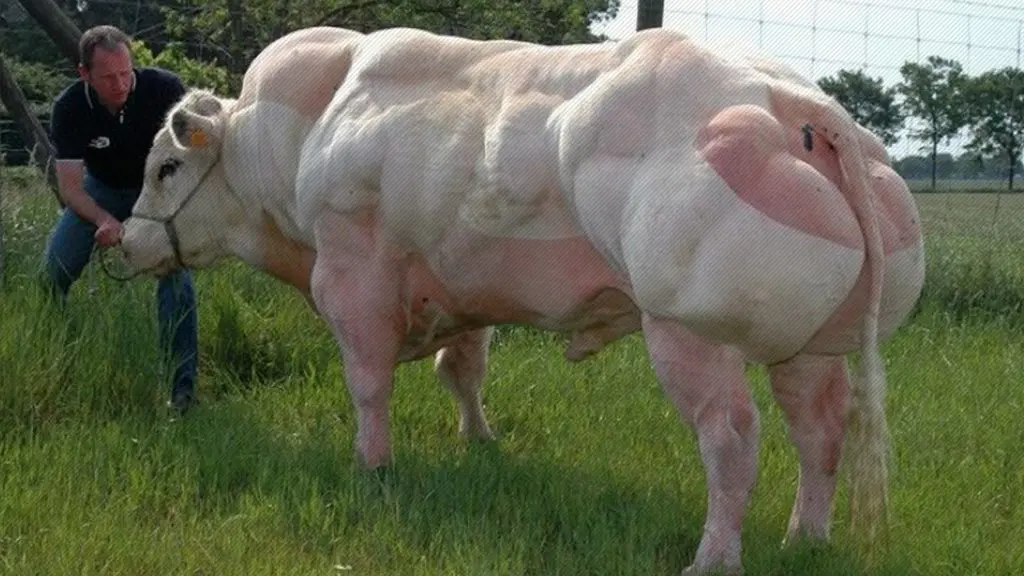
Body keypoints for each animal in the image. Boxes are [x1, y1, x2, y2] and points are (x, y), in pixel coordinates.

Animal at [118, 26, 926, 575]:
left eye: (164, 168)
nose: (122, 244)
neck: (307, 128)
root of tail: (798, 103)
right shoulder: (460, 281)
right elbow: (461, 369)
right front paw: (479, 439)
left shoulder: (352, 273)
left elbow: (367, 383)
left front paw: (372, 467)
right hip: (809, 347)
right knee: (819, 431)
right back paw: (804, 536)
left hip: (688, 330)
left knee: (730, 438)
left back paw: (712, 557)